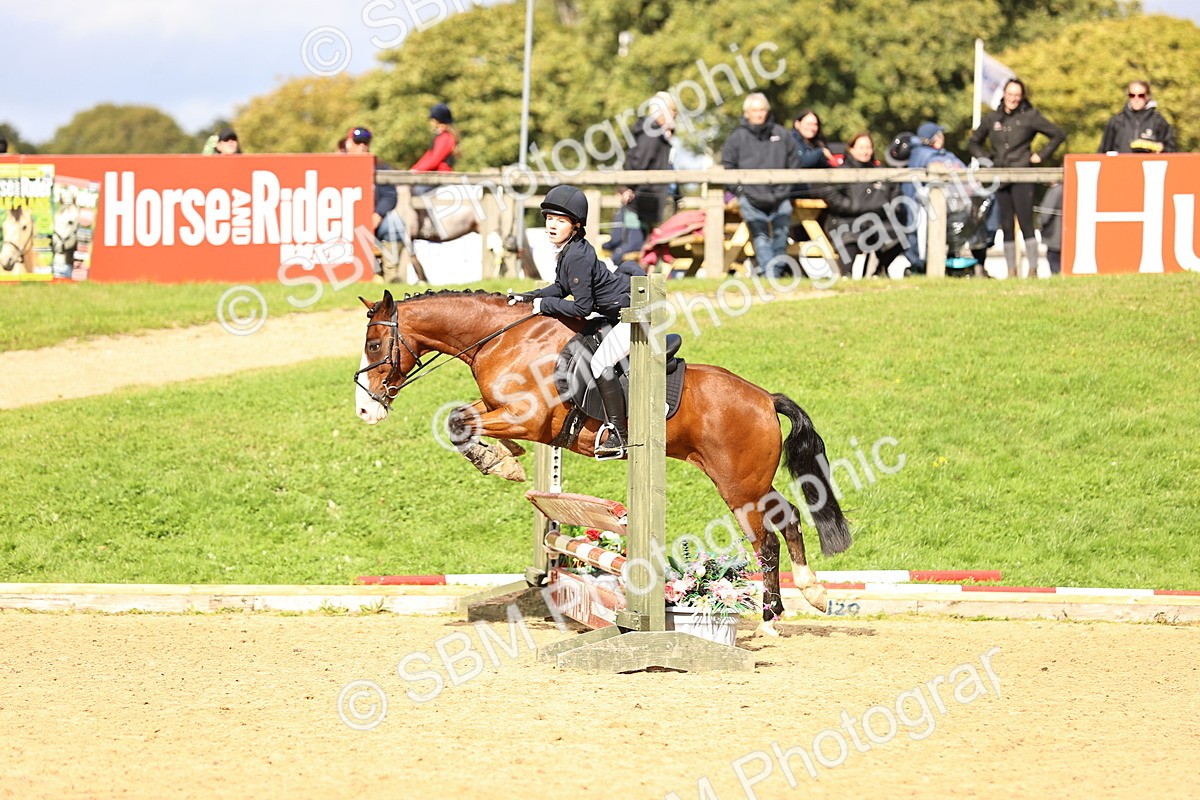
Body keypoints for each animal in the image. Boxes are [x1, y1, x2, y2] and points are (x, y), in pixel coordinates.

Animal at [354, 289, 852, 634]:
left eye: (375, 346)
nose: (365, 410)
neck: (505, 339)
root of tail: (764, 398)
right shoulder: (505, 413)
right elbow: (463, 419)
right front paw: (505, 458)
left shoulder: (526, 417)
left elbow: (459, 421)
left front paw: (502, 462)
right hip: (748, 481)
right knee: (788, 519)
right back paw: (808, 595)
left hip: (738, 485)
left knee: (765, 540)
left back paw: (772, 617)